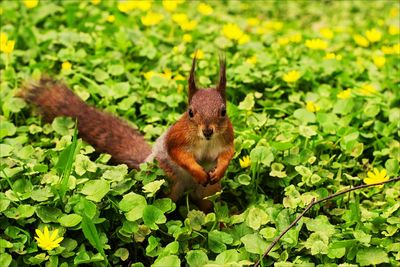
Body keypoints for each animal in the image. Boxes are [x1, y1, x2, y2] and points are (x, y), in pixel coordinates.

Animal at [21, 57, 234, 214]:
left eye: (223, 111)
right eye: (190, 112)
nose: (207, 130)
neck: (205, 141)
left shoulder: (227, 138)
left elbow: (228, 153)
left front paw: (220, 169)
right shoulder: (176, 138)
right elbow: (179, 154)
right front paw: (198, 171)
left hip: (209, 192)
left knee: (207, 206)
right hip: (167, 181)